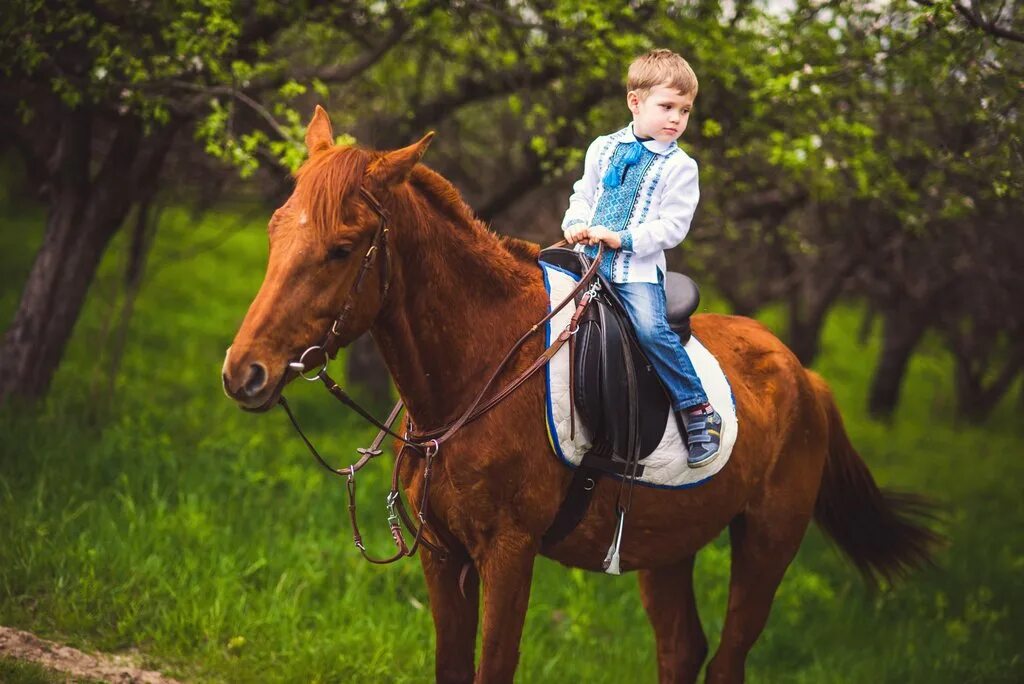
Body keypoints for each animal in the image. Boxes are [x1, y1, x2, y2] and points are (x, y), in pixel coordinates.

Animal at [222, 107, 937, 684]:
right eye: (275, 229)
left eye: (343, 248)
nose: (243, 373)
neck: (476, 374)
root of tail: (805, 376)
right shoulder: (442, 555)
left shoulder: (508, 553)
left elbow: (494, 666)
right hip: (666, 544)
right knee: (682, 649)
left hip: (768, 539)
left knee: (728, 658)